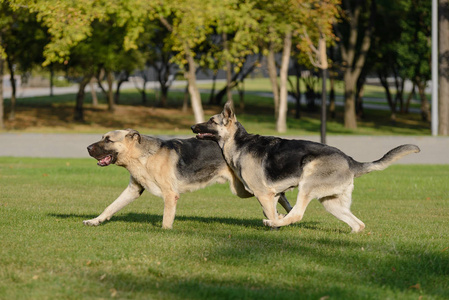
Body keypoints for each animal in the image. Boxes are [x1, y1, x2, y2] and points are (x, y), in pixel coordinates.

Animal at [86, 127, 292, 229]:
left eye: (108, 140)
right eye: (102, 138)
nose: (87, 148)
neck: (142, 156)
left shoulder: (170, 195)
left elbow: (166, 220)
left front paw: (165, 231)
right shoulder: (132, 191)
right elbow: (110, 207)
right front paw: (95, 221)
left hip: (248, 187)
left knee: (276, 194)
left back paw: (279, 218)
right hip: (243, 189)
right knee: (277, 196)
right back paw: (281, 217)